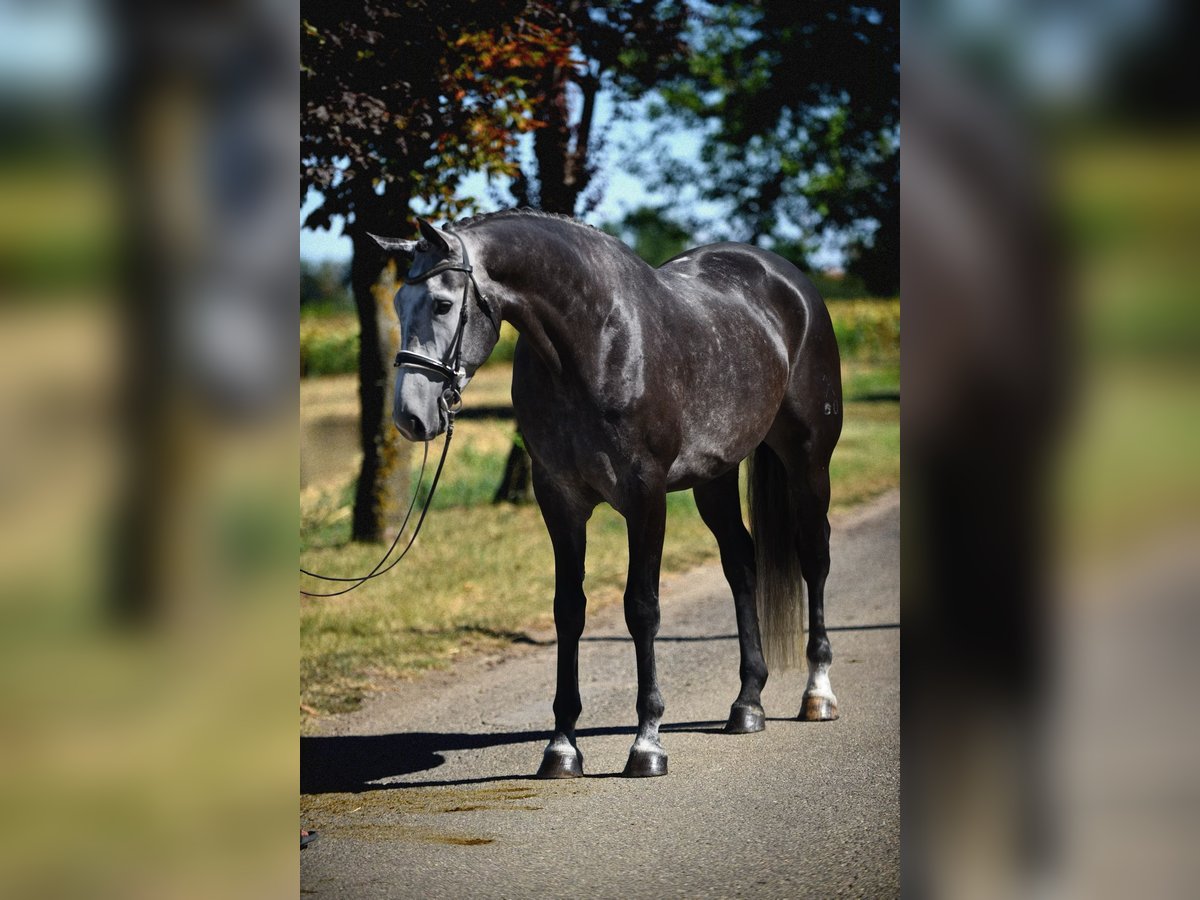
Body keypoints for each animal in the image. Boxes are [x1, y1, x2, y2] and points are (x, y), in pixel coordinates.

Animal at [369, 210, 840, 777]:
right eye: (398, 303)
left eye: (441, 303)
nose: (410, 417)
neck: (594, 346)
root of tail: (789, 281)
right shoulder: (559, 499)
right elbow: (568, 610)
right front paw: (562, 746)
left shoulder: (646, 496)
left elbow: (642, 608)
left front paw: (647, 742)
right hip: (715, 478)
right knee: (742, 564)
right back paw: (747, 703)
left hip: (808, 462)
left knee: (813, 558)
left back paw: (818, 694)